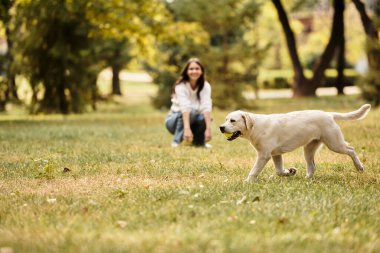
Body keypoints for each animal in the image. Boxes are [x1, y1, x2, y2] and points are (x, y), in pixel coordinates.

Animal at [220, 104, 372, 183]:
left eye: (232, 120)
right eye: (225, 119)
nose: (221, 127)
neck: (255, 126)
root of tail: (328, 114)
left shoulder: (264, 155)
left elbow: (254, 171)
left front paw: (247, 182)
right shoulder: (275, 155)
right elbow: (279, 171)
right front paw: (290, 172)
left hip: (335, 143)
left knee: (351, 149)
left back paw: (359, 167)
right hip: (309, 149)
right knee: (312, 166)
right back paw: (306, 179)